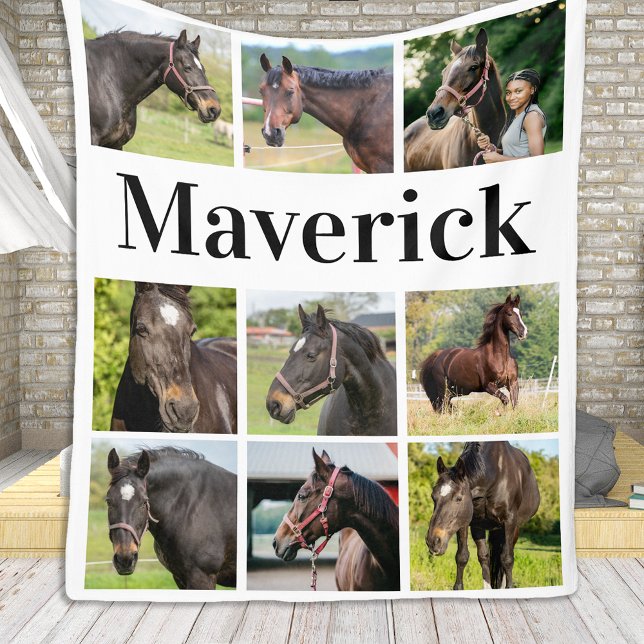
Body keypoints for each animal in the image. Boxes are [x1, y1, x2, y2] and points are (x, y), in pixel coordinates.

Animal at [425, 441, 540, 589]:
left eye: (458, 498)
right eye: (433, 497)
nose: (433, 541)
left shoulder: (509, 521)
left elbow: (507, 559)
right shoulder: (469, 522)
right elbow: (463, 557)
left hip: (514, 528)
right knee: (486, 557)